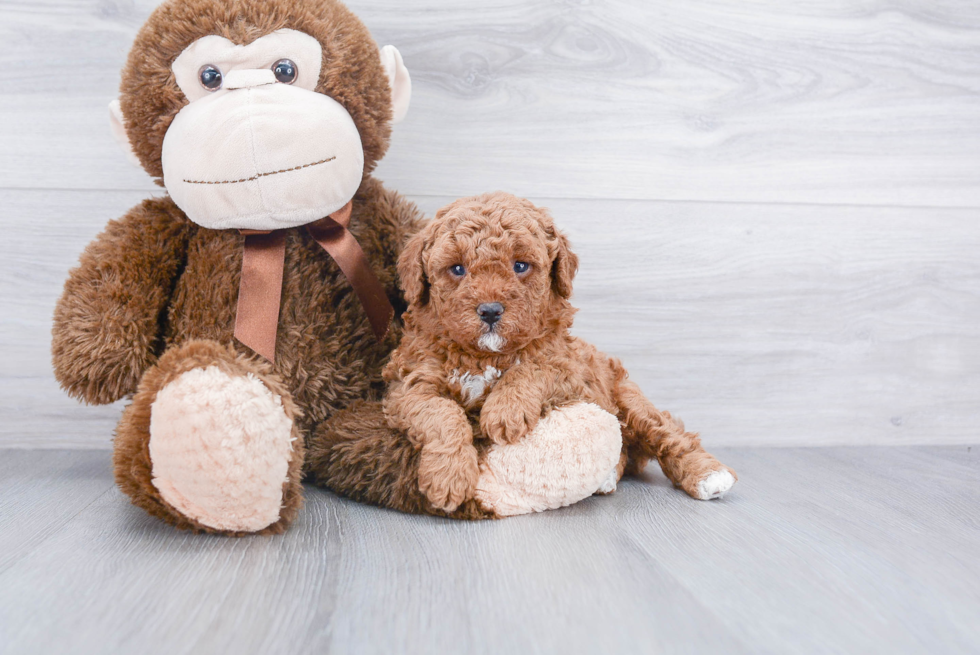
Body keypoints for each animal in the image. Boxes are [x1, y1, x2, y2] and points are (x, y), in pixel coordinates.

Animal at [308, 192, 736, 520]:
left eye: (520, 265)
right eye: (457, 269)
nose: (490, 311)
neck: (482, 357)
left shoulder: (568, 365)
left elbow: (534, 367)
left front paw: (505, 411)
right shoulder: (410, 384)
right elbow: (442, 415)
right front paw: (448, 479)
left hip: (627, 398)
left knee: (668, 435)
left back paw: (708, 475)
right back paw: (608, 476)